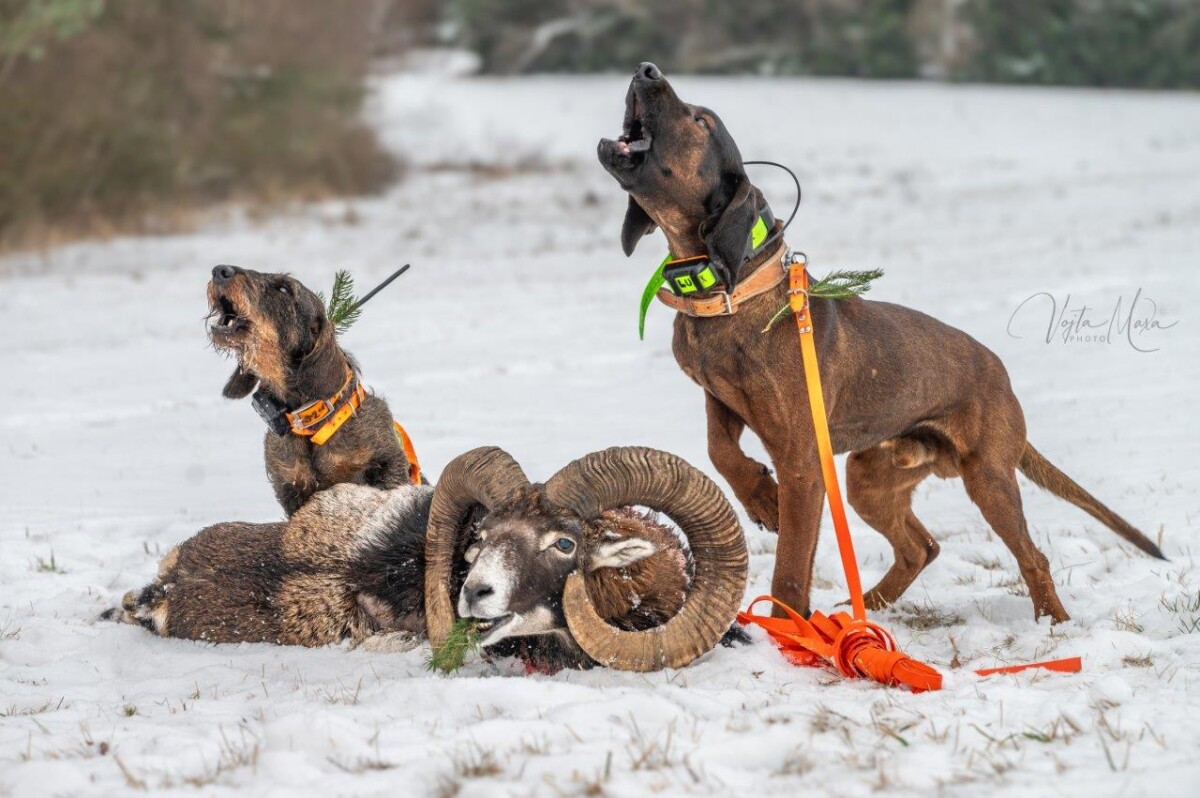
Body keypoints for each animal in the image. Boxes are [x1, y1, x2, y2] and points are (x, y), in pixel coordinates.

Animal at [600, 62, 1161, 624]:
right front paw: (760, 497)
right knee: (921, 547)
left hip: (987, 477)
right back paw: (860, 611)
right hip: (869, 476)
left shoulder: (803, 460)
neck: (732, 288)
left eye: (700, 120)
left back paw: (1051, 622)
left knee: (1031, 556)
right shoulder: (720, 399)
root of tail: (1002, 378)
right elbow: (719, 451)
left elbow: (790, 567)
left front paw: (785, 629)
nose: (646, 70)